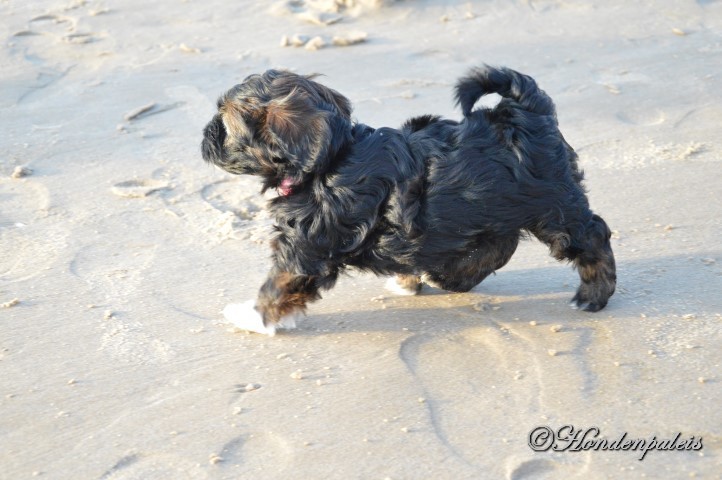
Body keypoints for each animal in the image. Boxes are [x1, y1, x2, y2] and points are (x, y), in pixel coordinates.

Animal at [201, 65, 612, 336]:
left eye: (225, 123)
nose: (204, 135)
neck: (328, 158)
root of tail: (527, 111)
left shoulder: (306, 242)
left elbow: (279, 282)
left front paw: (252, 316)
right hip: (491, 212)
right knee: (498, 246)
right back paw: (444, 275)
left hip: (553, 205)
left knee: (591, 236)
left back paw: (592, 294)